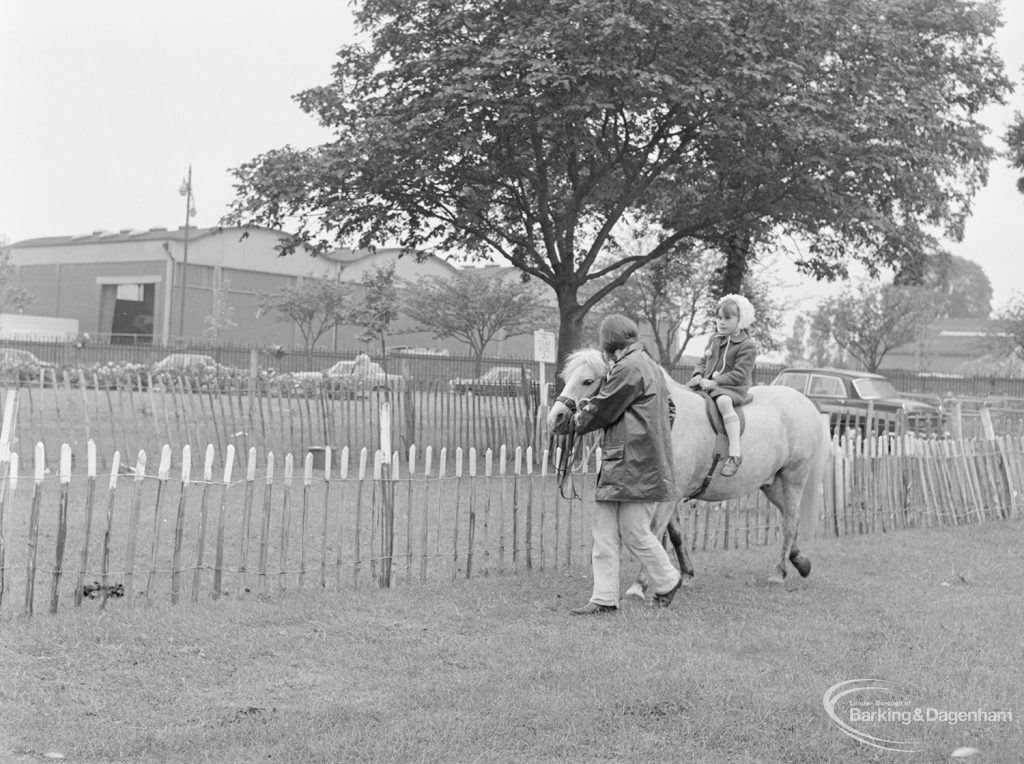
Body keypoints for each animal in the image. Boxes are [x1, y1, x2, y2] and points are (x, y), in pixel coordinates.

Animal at [548, 348, 827, 581]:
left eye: (587, 381)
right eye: (568, 376)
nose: (556, 418)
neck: (664, 419)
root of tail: (806, 404)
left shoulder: (669, 496)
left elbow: (654, 534)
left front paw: (646, 581)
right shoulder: (668, 492)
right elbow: (675, 534)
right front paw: (686, 572)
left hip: (793, 479)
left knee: (789, 522)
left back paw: (779, 572)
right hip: (770, 483)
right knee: (790, 518)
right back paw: (800, 562)